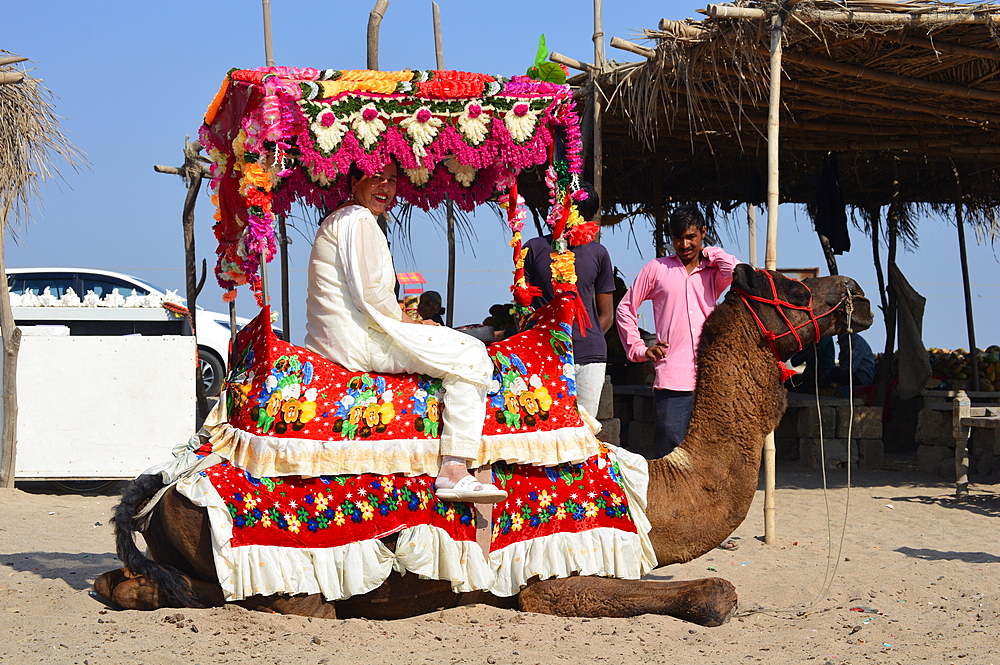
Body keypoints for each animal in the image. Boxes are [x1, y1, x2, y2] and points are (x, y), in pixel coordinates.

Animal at [97, 264, 872, 624]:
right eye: (791, 283)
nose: (858, 293)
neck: (653, 488)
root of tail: (167, 481)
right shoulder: (552, 579)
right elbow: (715, 591)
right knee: (292, 603)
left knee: (128, 581)